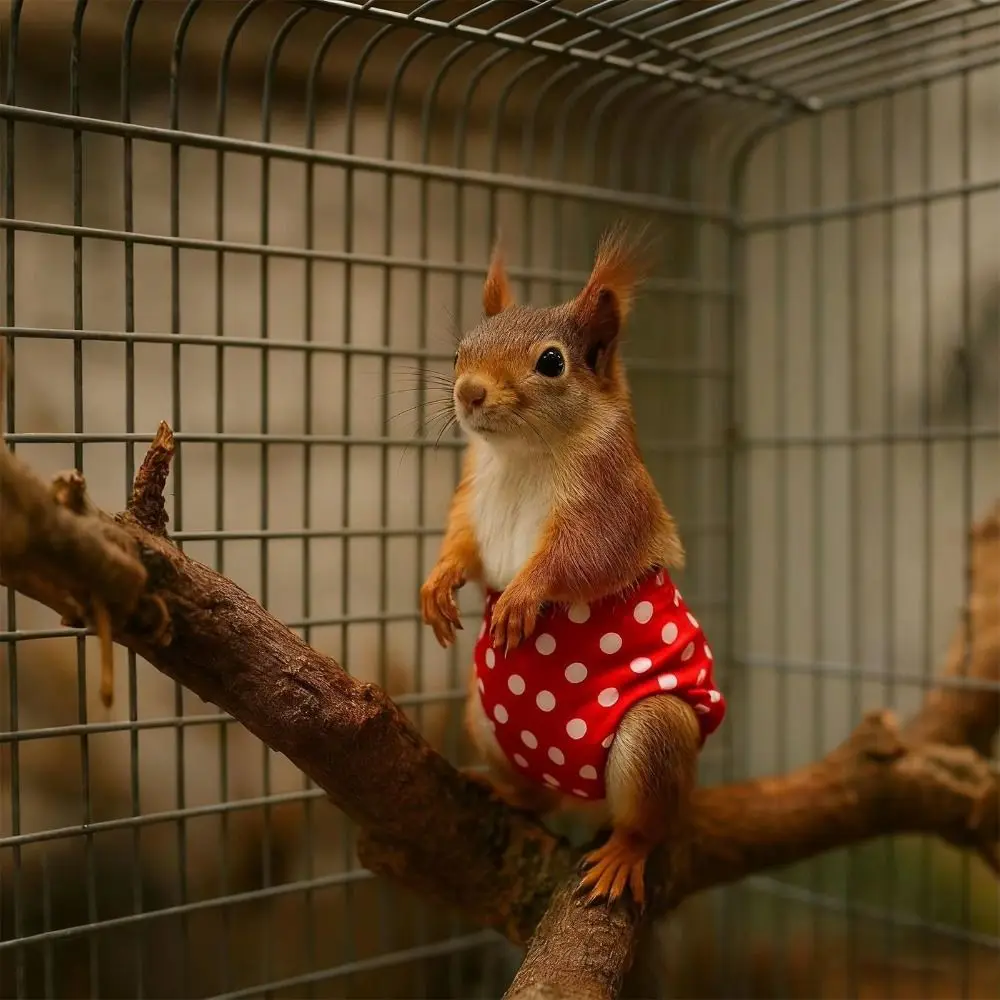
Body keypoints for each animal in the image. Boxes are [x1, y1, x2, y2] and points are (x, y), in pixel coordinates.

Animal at [420, 225, 725, 909]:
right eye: (459, 351)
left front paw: (520, 597)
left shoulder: (608, 502)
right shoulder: (472, 490)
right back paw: (505, 791)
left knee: (646, 823)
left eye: (552, 362)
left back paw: (621, 854)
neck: (522, 452)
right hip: (484, 717)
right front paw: (437, 585)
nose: (468, 393)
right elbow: (462, 543)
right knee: (539, 796)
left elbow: (580, 555)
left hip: (655, 734)